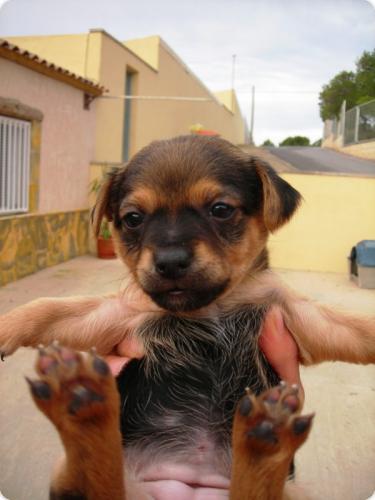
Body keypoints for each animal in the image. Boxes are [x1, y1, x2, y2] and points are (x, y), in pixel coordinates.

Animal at [0, 136, 375, 500]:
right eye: (133, 218)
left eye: (220, 210)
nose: (170, 262)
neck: (210, 306)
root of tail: (189, 485)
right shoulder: (118, 313)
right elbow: (49, 308)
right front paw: (6, 327)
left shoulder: (293, 312)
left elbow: (354, 325)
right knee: (94, 481)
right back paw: (80, 396)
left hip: (295, 491)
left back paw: (264, 435)